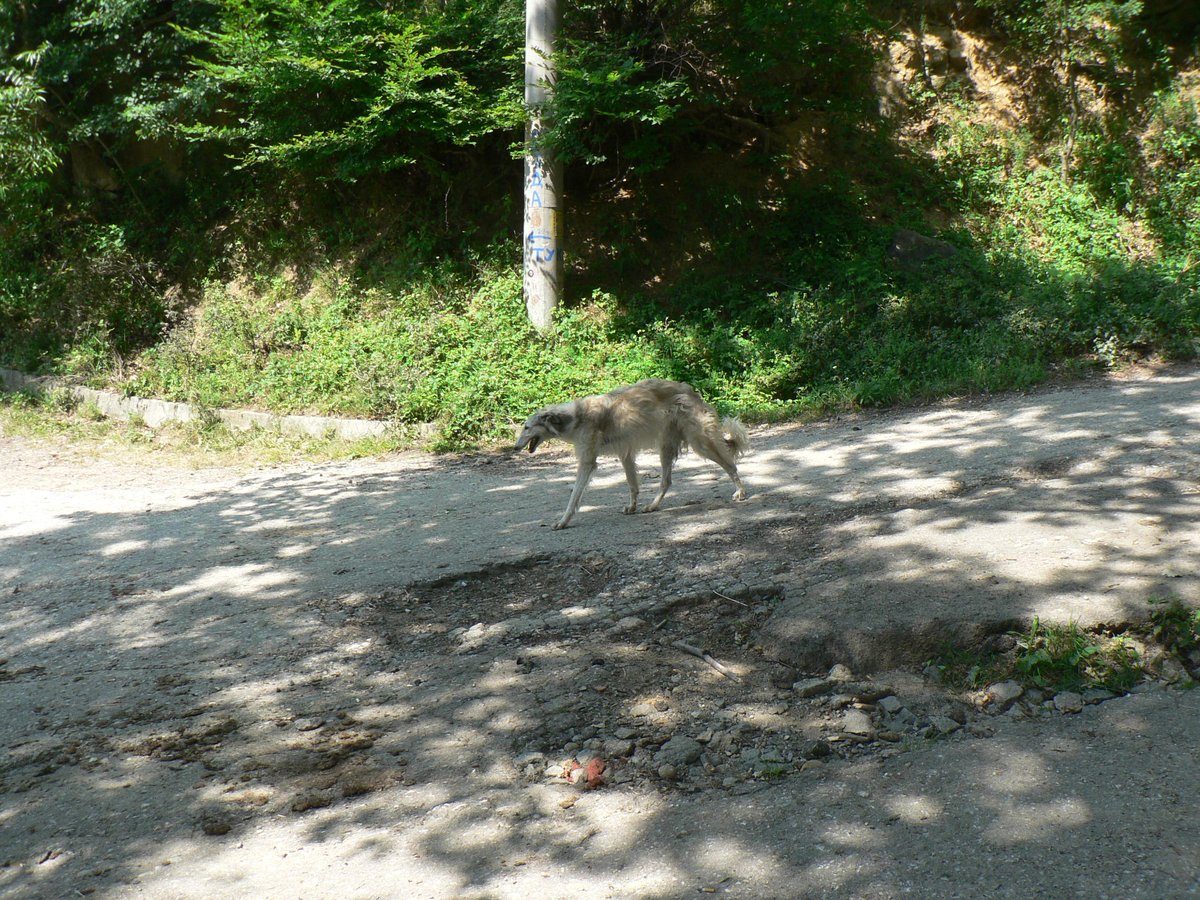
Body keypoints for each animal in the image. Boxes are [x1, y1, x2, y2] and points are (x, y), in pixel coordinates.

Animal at [514, 378, 750, 529]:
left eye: (526, 427)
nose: (515, 448)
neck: (575, 417)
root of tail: (691, 391)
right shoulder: (625, 453)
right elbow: (632, 485)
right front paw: (632, 507)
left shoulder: (588, 462)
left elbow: (574, 497)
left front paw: (563, 521)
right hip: (666, 446)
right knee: (666, 482)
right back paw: (652, 506)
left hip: (699, 443)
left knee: (731, 465)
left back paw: (740, 492)